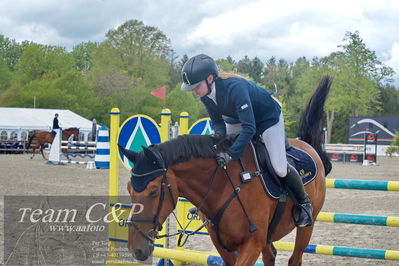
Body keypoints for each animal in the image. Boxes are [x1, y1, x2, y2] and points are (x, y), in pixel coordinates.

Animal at [120, 76, 332, 264]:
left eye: (154, 191)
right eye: (130, 189)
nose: (136, 250)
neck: (222, 185)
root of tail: (307, 145)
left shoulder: (252, 244)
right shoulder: (223, 244)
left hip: (306, 228)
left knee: (295, 256)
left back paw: (304, 209)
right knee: (270, 255)